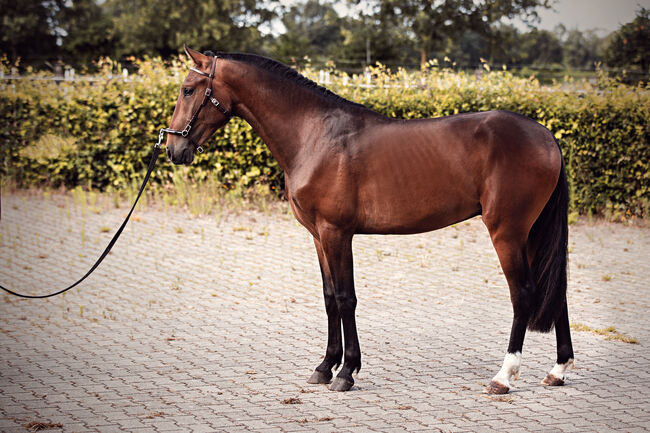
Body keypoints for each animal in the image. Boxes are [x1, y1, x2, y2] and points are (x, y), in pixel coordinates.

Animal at [166, 45, 572, 394]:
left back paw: (503, 377)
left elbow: (346, 299)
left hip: (508, 232)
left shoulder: (337, 233)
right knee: (556, 292)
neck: (313, 134)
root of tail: (547, 137)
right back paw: (557, 370)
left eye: (188, 90)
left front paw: (346, 372)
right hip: (530, 233)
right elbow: (330, 297)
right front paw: (324, 367)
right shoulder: (318, 236)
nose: (172, 148)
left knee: (524, 293)